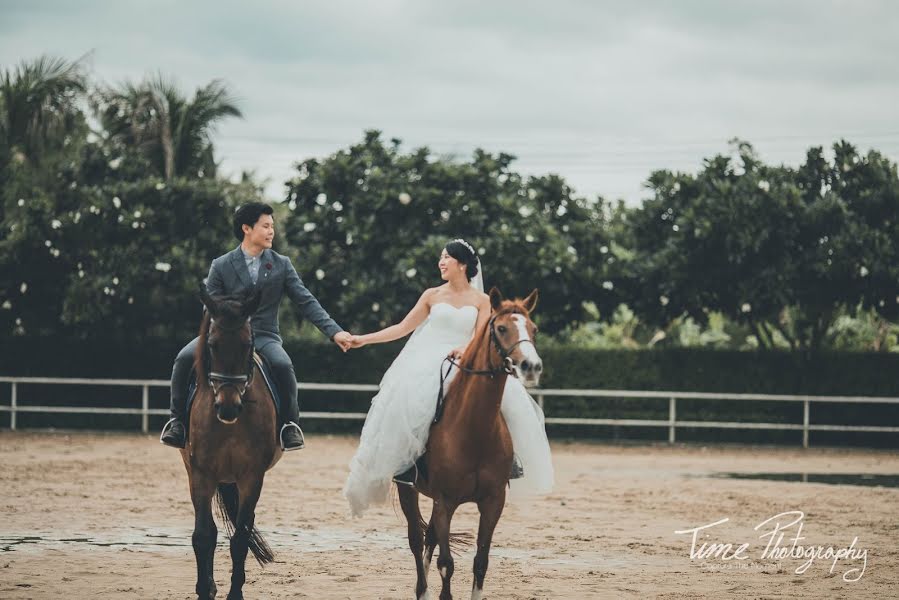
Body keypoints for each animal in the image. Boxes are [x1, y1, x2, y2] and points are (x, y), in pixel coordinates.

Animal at [179, 288, 282, 600]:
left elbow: (240, 538)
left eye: (248, 344)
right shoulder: (201, 473)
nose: (228, 407)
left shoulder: (251, 476)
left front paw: (235, 593)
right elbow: (203, 536)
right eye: (212, 345)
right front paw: (204, 589)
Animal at [400, 286, 540, 600]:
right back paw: (422, 591)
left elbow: (481, 562)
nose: (531, 366)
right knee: (416, 540)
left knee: (429, 539)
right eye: (501, 328)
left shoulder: (492, 502)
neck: (473, 429)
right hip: (408, 490)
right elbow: (446, 564)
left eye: (533, 329)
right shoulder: (445, 502)